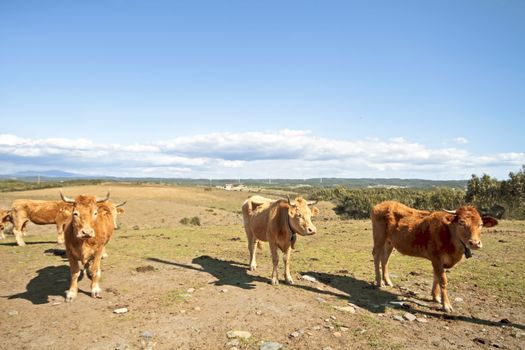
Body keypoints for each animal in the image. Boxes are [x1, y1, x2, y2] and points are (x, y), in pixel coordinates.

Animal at [370, 200, 498, 312]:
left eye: (481, 224)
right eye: (461, 223)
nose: (475, 243)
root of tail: (383, 204)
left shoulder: (438, 261)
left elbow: (436, 277)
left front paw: (435, 297)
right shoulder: (436, 259)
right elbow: (443, 280)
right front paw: (446, 305)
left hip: (389, 242)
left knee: (385, 259)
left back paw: (387, 281)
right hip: (379, 237)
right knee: (376, 256)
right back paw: (379, 282)